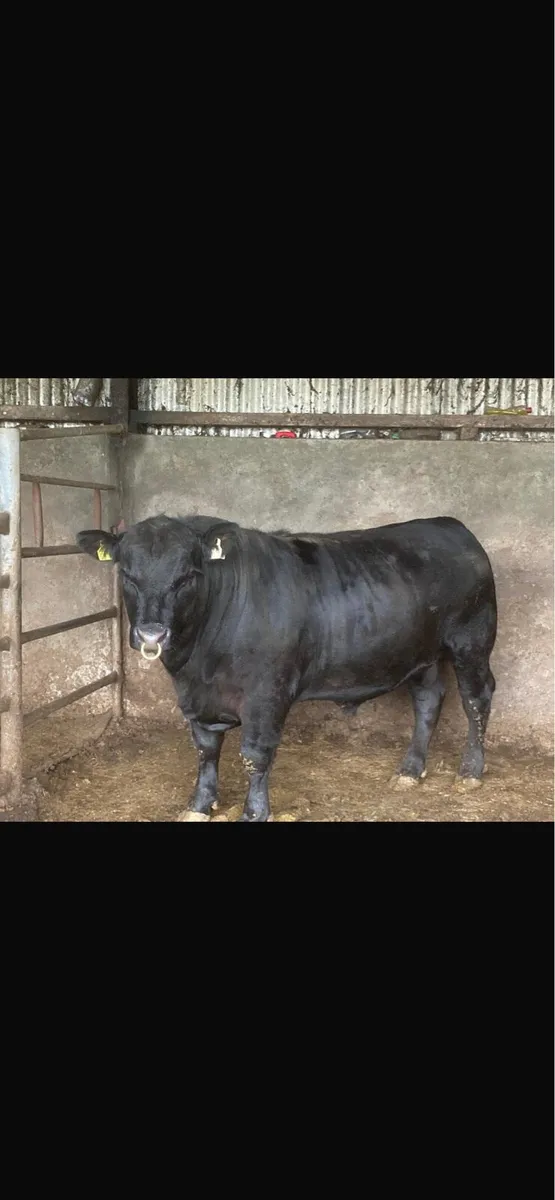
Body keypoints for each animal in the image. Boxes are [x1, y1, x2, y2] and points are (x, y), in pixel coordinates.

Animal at [77, 514, 497, 822]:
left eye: (187, 576)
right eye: (127, 575)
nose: (152, 633)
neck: (199, 662)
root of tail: (450, 525)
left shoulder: (267, 693)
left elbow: (255, 754)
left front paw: (254, 812)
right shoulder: (197, 698)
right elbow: (206, 749)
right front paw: (199, 806)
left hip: (472, 643)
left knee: (476, 699)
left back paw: (471, 772)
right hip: (421, 654)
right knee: (428, 700)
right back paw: (410, 770)